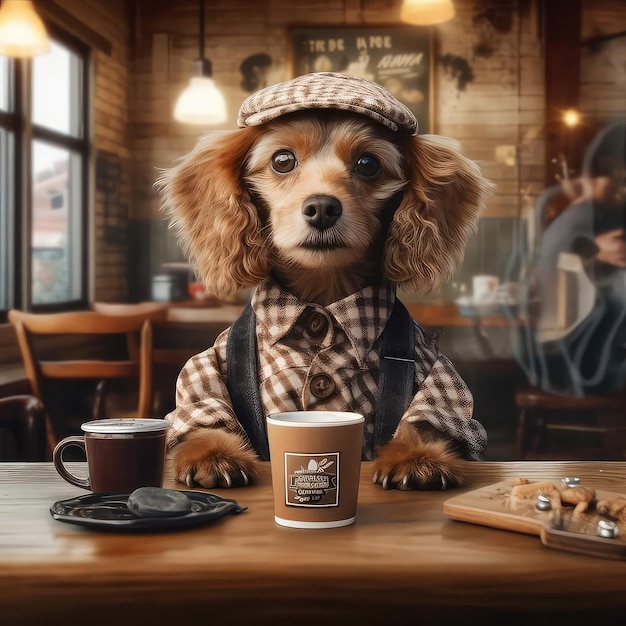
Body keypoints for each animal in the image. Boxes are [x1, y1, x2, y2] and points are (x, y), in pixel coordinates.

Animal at [158, 73, 490, 490]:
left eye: (367, 164)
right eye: (283, 160)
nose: (321, 207)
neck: (322, 301)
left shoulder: (433, 367)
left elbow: (427, 417)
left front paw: (418, 458)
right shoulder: (207, 364)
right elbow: (205, 412)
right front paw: (213, 455)